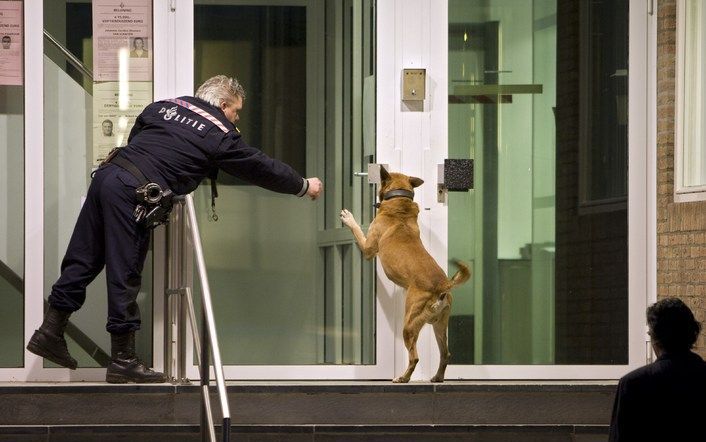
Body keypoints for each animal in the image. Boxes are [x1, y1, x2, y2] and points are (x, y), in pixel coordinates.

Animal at [340, 167, 468, 382]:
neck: (400, 202)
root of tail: (442, 285)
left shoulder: (368, 248)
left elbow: (358, 231)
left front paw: (348, 218)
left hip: (409, 324)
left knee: (415, 357)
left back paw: (403, 378)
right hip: (439, 325)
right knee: (445, 353)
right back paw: (437, 377)